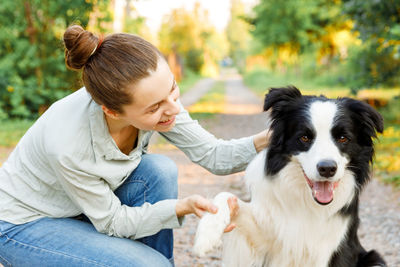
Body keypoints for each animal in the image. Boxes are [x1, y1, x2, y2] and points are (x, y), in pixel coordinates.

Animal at [194, 87, 388, 267]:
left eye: (342, 138)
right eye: (304, 137)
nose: (327, 169)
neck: (307, 202)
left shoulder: (333, 248)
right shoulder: (265, 236)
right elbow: (225, 196)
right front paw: (206, 235)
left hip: (374, 259)